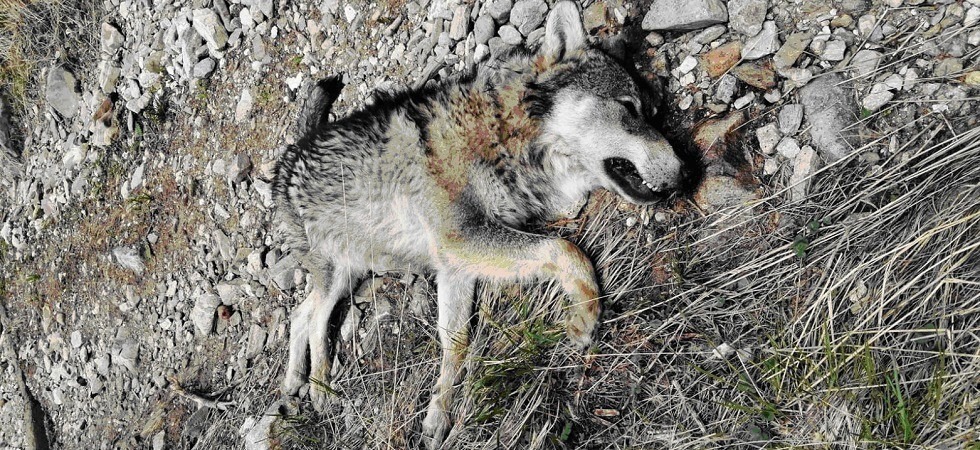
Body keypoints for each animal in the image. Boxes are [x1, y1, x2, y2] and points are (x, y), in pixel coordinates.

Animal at [272, 2, 685, 447]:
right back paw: (319, 387)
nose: (685, 172)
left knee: (299, 313)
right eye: (629, 108)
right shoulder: (461, 241)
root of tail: (291, 152)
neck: (501, 132)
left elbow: (456, 343)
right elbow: (565, 249)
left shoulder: (456, 266)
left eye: (652, 114)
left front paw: (440, 413)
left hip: (351, 274)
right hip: (337, 275)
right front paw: (585, 315)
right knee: (315, 320)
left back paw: (294, 379)